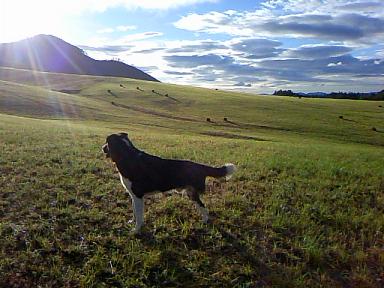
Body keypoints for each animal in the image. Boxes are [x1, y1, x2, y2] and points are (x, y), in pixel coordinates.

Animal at [102, 133, 234, 234]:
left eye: (107, 143)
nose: (101, 148)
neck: (128, 156)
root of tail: (201, 166)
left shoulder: (138, 195)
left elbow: (139, 216)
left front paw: (135, 231)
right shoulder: (133, 196)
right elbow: (134, 212)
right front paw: (131, 223)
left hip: (192, 193)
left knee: (203, 207)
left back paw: (205, 222)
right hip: (191, 193)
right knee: (202, 206)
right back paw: (204, 221)